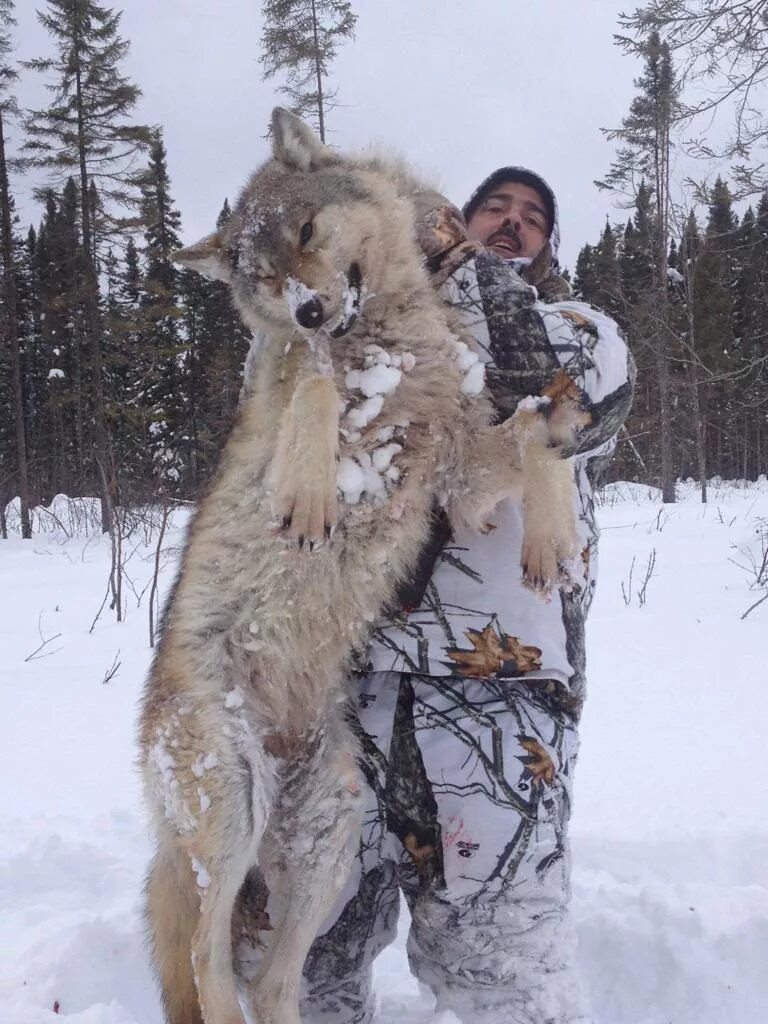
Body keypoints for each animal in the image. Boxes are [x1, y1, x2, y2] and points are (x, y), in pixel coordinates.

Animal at [140, 110, 581, 1024]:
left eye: (308, 232)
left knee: (274, 981)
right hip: (230, 810)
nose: (309, 305)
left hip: (329, 834)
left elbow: (533, 425)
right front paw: (311, 492)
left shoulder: (462, 476)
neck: (390, 339)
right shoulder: (290, 390)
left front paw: (553, 522)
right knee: (206, 963)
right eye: (263, 275)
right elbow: (311, 381)